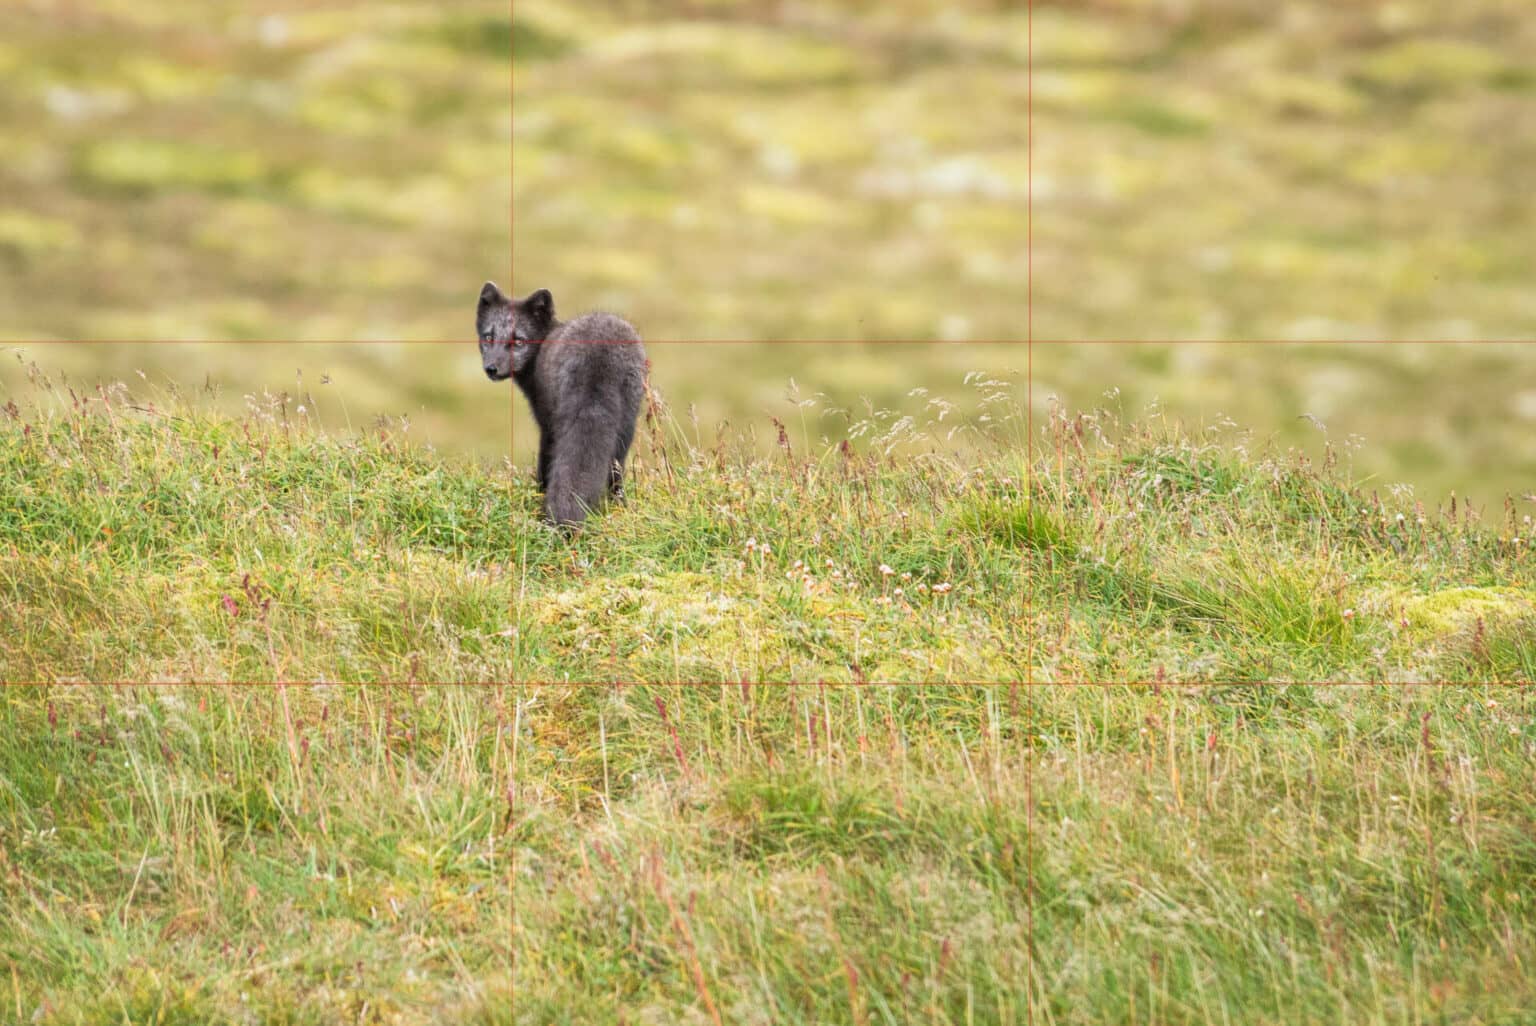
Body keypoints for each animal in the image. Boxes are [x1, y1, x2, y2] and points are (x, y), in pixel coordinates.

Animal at [479, 284, 648, 534]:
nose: (491, 368)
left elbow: (544, 461)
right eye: (488, 337)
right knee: (616, 471)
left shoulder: (544, 421)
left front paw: (538, 491)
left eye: (519, 341)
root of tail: (600, 360)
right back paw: (619, 505)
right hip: (627, 425)